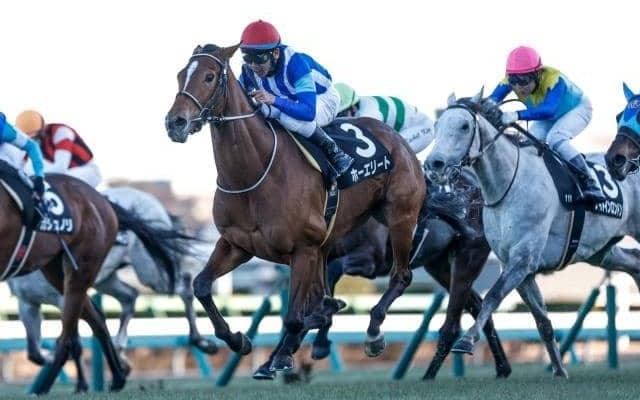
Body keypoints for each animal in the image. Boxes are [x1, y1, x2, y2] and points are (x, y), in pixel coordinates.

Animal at [8, 186, 216, 391]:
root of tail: (149, 198)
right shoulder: (27, 303)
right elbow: (34, 353)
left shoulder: (63, 297)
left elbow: (73, 342)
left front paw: (81, 383)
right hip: (107, 279)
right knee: (130, 296)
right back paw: (120, 352)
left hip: (150, 271)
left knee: (183, 288)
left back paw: (201, 341)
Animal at [164, 43, 425, 371]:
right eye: (179, 75)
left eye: (209, 76)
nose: (175, 123)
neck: (254, 173)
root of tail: (395, 137)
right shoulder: (237, 244)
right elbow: (200, 285)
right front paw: (238, 339)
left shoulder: (303, 249)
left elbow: (293, 317)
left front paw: (283, 354)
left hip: (400, 217)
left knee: (401, 275)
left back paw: (373, 334)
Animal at [254, 170, 512, 380]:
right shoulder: (319, 256)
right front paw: (274, 360)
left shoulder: (369, 259)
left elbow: (326, 290)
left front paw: (318, 342)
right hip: (438, 265)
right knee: (477, 306)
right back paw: (501, 367)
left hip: (468, 257)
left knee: (454, 322)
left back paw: (430, 375)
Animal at [425, 90, 640, 377]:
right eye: (437, 126)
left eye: (464, 126)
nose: (434, 164)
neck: (509, 184)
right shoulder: (521, 269)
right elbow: (542, 322)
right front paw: (559, 371)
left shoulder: (522, 259)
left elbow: (492, 296)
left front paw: (467, 340)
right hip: (601, 251)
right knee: (635, 261)